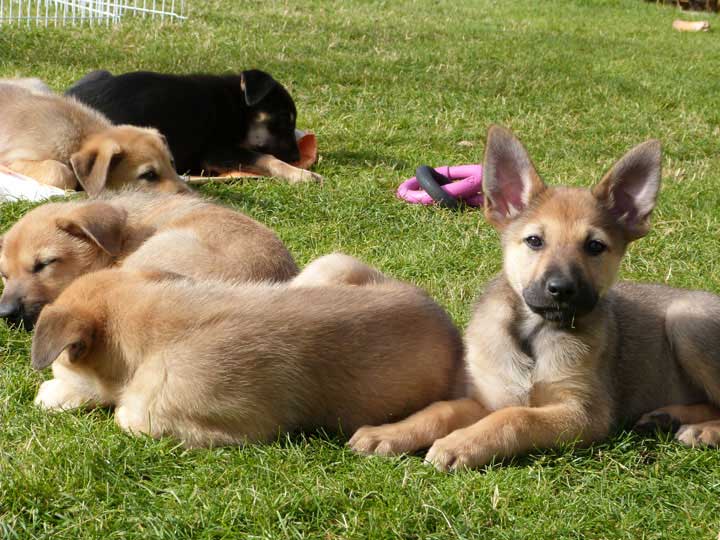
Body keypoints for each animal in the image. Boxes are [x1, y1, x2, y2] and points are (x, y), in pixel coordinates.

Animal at [66, 70, 322, 184]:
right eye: (283, 120)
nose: (296, 157)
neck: (237, 107)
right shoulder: (216, 152)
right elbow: (266, 158)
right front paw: (302, 174)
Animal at [352, 125, 720, 468]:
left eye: (595, 246)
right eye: (534, 241)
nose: (561, 289)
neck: (532, 335)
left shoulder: (584, 412)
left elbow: (516, 417)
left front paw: (460, 443)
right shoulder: (489, 397)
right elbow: (440, 410)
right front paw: (389, 433)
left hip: (686, 322)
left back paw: (702, 429)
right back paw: (667, 417)